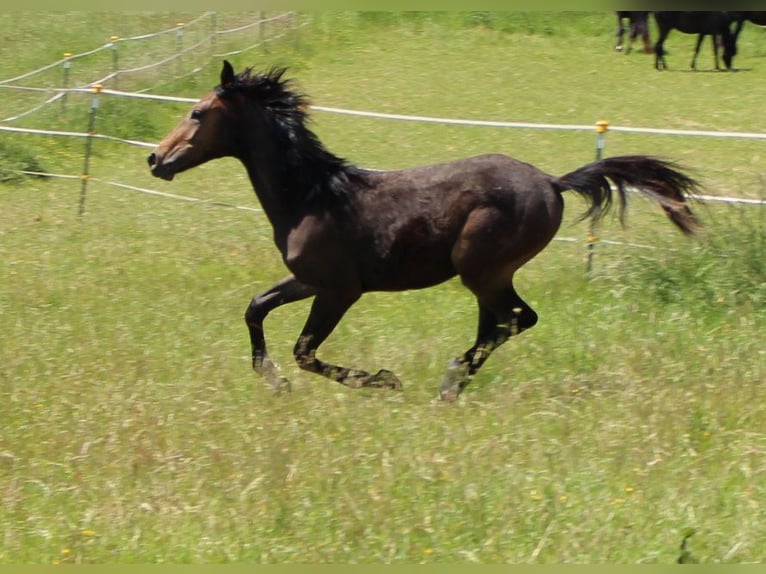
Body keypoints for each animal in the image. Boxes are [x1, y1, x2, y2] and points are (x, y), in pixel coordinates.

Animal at [148, 61, 701, 401]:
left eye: (198, 112)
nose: (155, 159)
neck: (313, 197)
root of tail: (551, 181)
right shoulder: (307, 280)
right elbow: (256, 308)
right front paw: (273, 381)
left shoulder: (340, 290)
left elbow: (305, 351)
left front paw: (381, 380)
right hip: (488, 276)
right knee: (500, 324)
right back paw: (453, 387)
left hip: (481, 269)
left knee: (516, 319)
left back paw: (450, 379)